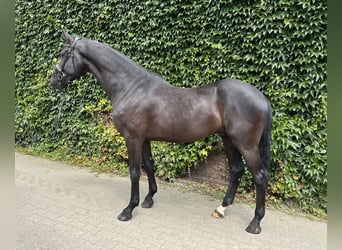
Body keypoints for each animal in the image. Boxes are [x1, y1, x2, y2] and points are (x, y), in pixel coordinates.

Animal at [50, 31, 272, 234]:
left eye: (63, 53)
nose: (53, 81)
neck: (130, 87)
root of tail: (261, 97)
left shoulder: (132, 138)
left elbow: (134, 172)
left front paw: (128, 209)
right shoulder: (144, 139)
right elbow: (149, 166)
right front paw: (149, 199)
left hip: (246, 144)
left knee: (260, 176)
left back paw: (255, 223)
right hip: (228, 139)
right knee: (236, 170)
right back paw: (221, 209)